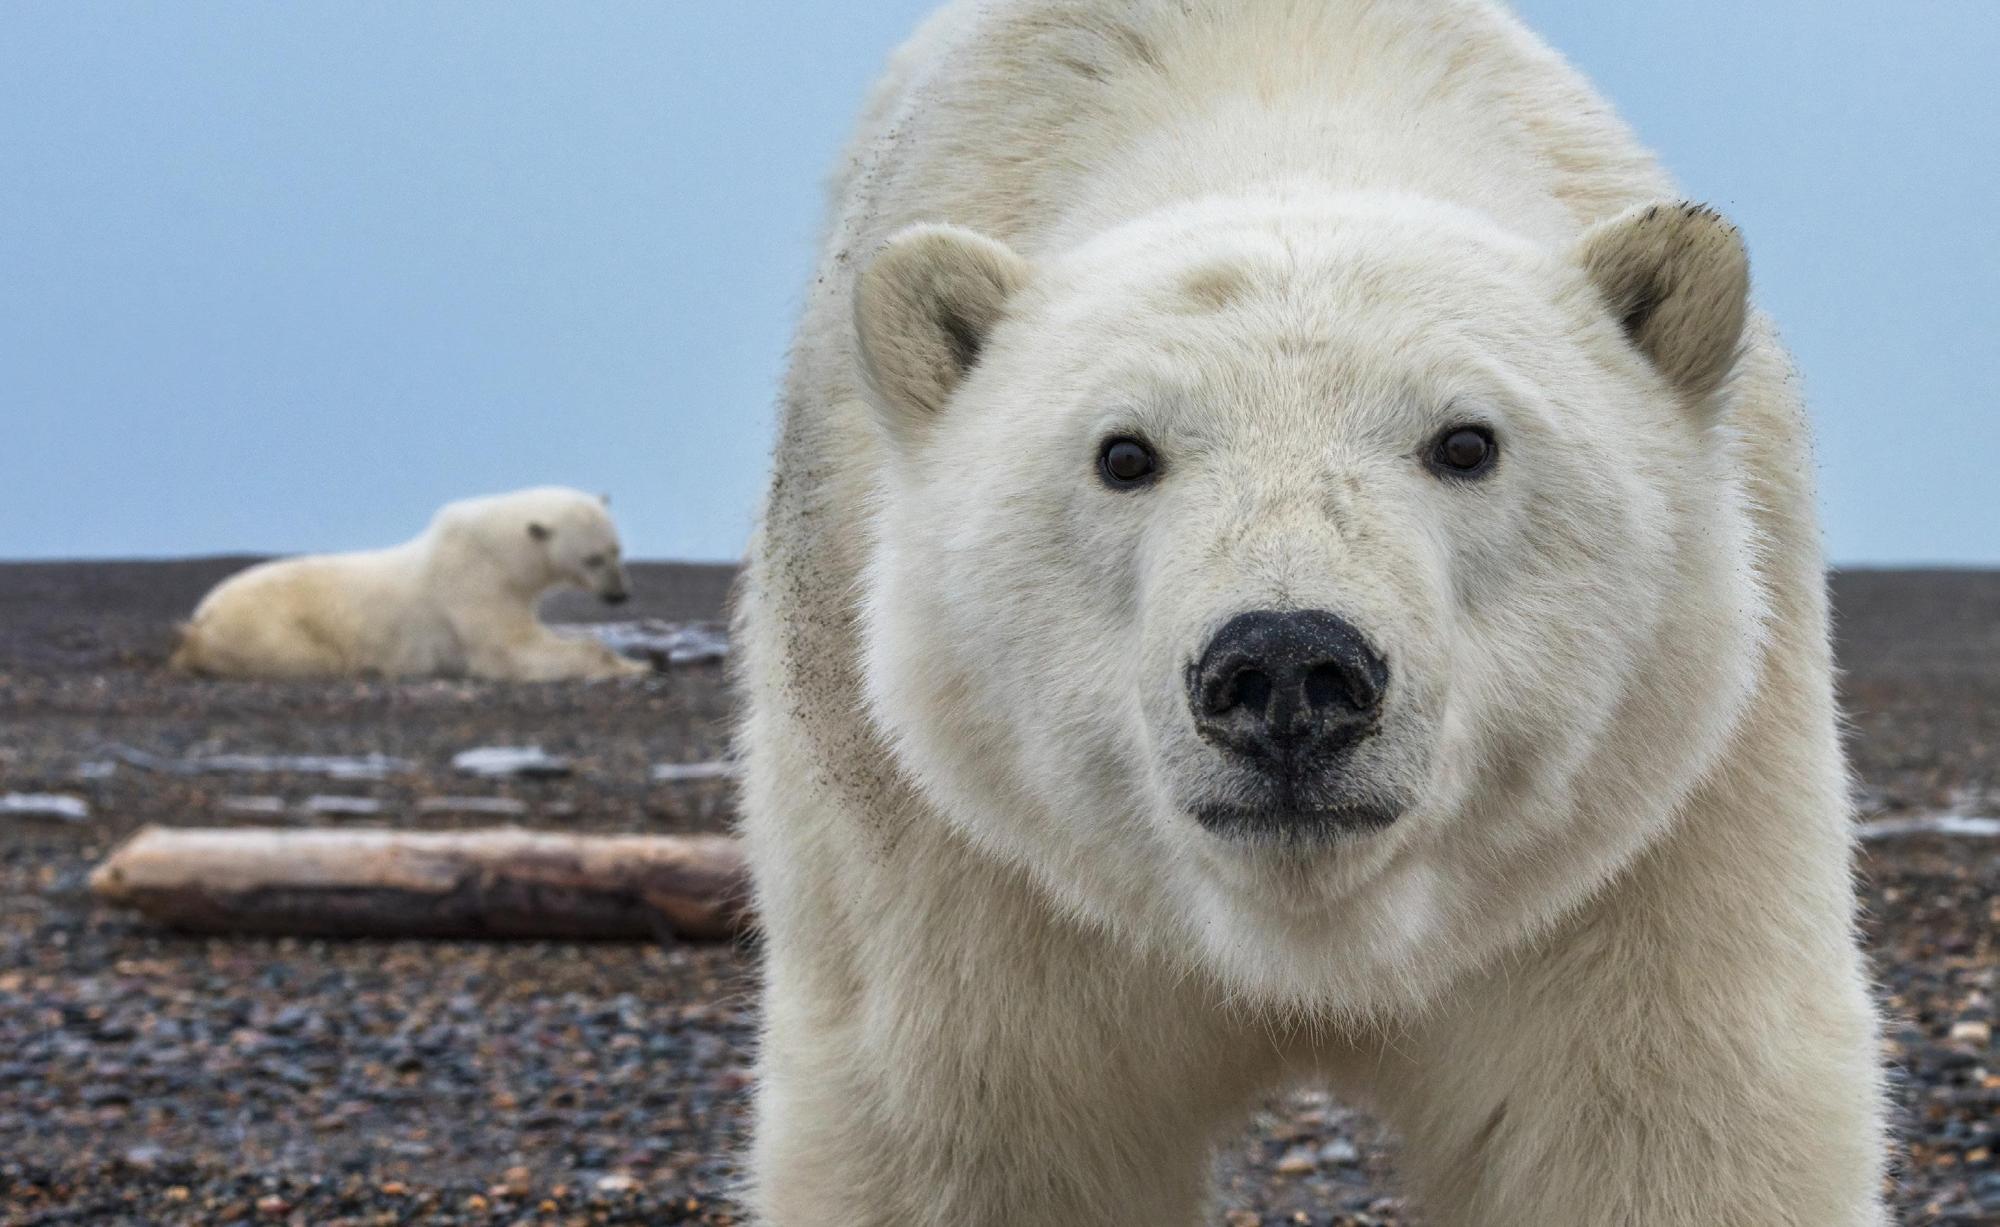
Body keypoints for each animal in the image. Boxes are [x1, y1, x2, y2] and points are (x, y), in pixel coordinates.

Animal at [170, 486, 649, 681]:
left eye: (618, 549)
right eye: (592, 558)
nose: (620, 594)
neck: (494, 549)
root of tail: (200, 620)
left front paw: (639, 663)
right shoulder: (473, 585)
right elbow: (507, 651)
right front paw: (626, 665)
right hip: (266, 628)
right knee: (301, 656)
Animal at [734, 2, 1888, 1225]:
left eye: (1466, 440)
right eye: (1122, 453)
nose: (1287, 667)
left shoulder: (1657, 836)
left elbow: (1671, 1123)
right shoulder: (954, 864)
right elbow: (966, 1138)